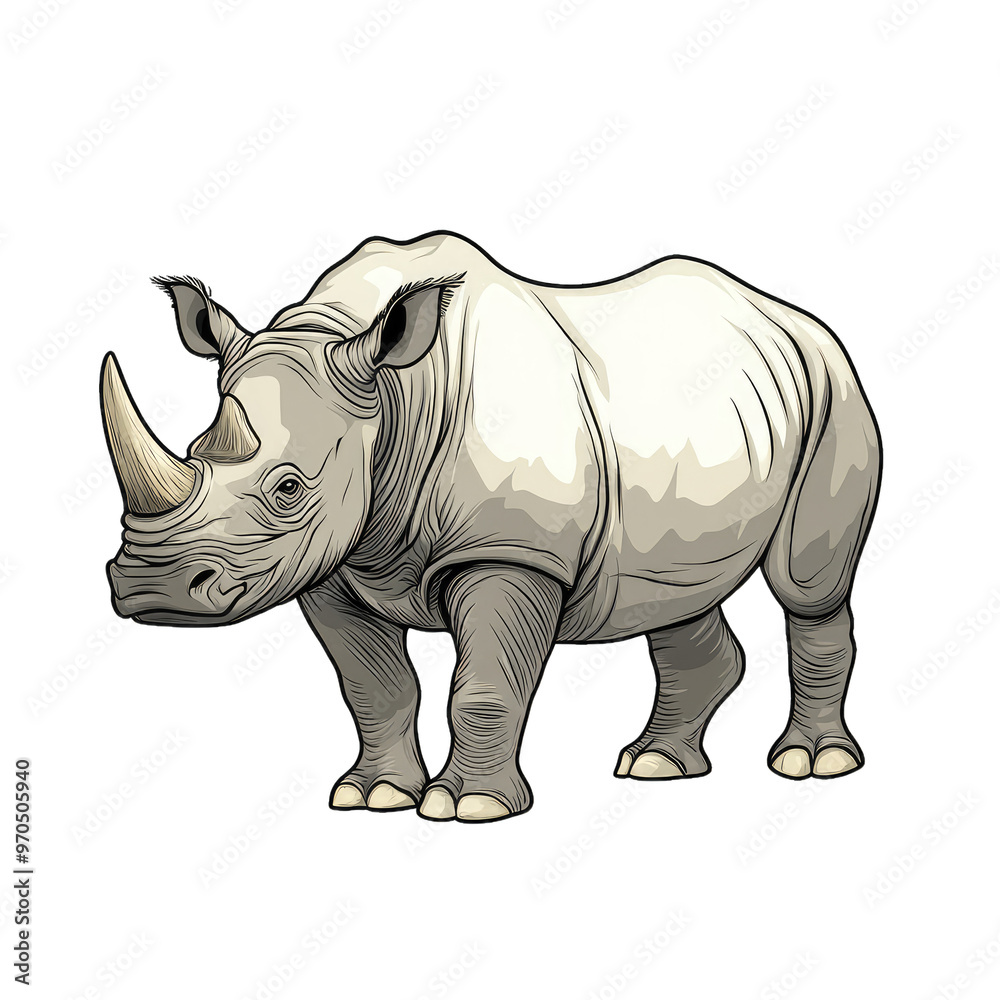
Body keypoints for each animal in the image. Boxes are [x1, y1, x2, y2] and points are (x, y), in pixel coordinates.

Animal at [101, 231, 881, 822]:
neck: (393, 396)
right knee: (672, 594)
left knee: (806, 584)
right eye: (196, 451)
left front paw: (468, 808)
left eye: (288, 488)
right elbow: (372, 684)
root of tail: (794, 318)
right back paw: (656, 766)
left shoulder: (512, 551)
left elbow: (480, 685)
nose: (150, 589)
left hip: (834, 385)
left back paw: (812, 763)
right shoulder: (332, 561)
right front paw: (373, 797)